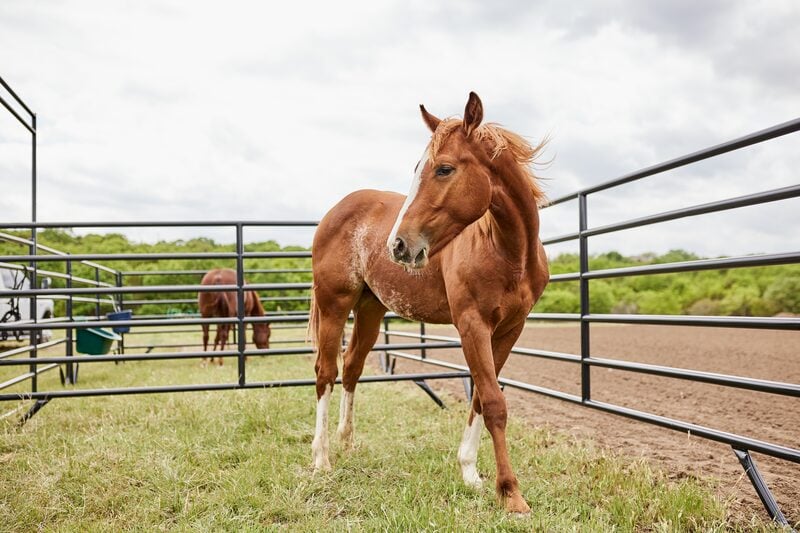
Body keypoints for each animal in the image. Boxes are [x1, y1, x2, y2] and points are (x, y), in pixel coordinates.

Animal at [309, 92, 549, 514]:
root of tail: (335, 212)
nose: (399, 245)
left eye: (444, 169)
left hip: (370, 310)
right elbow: (493, 402)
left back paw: (347, 444)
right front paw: (511, 493)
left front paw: (470, 473)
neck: (508, 252)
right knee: (326, 372)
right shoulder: (472, 325)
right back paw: (322, 457)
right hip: (334, 305)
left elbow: (482, 398)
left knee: (351, 369)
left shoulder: (509, 329)